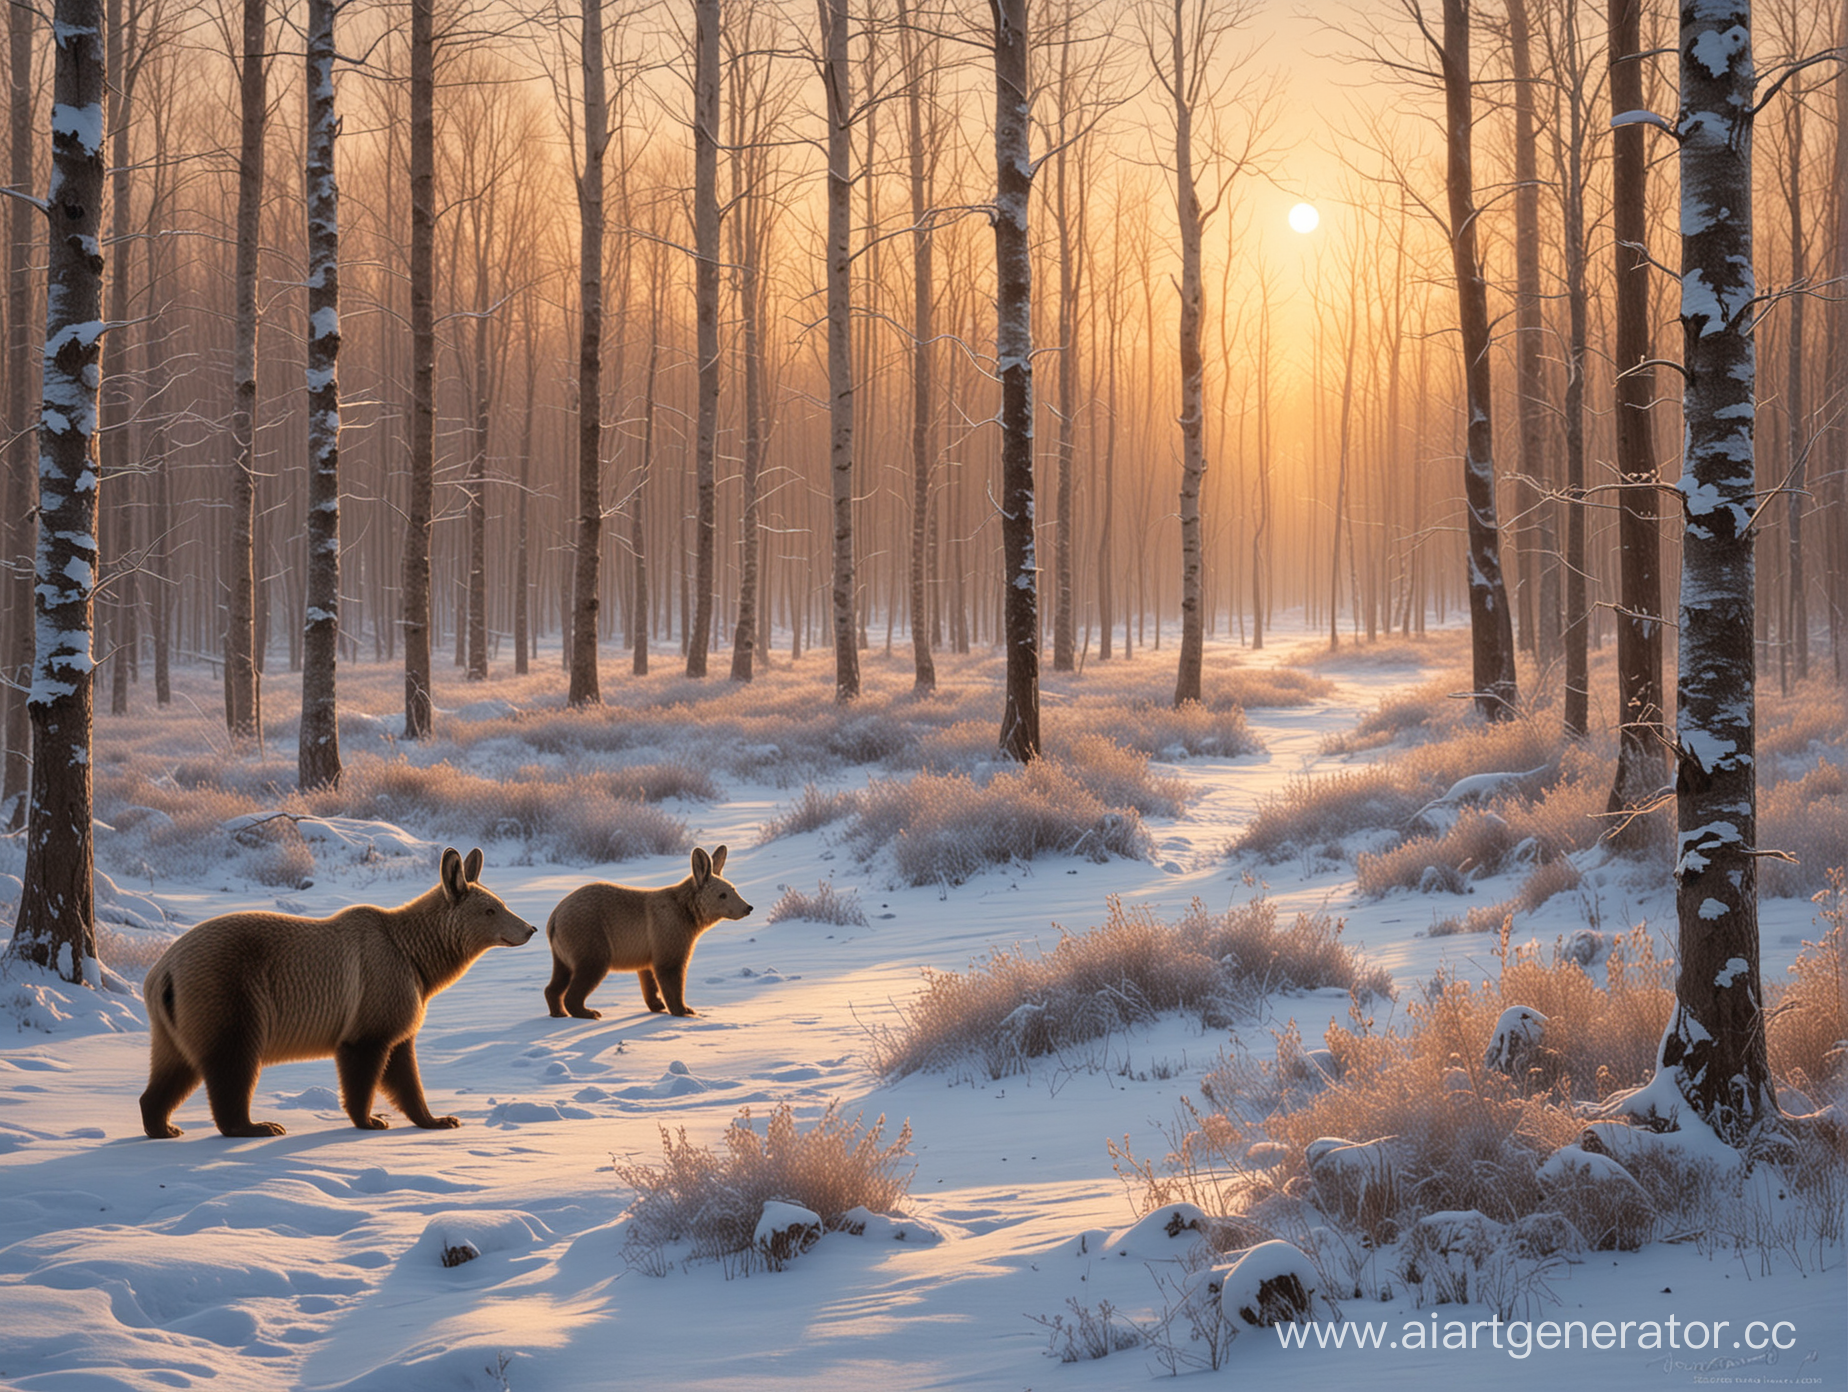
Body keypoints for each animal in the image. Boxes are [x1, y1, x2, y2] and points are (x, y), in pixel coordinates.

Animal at [138, 842, 535, 1131]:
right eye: (492, 910)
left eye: (502, 903)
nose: (529, 928)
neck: (417, 958)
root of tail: (163, 971)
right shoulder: (377, 983)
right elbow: (366, 1056)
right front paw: (370, 1119)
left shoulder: (403, 996)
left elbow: (403, 1063)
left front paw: (438, 1118)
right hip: (228, 991)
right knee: (233, 1060)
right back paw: (258, 1126)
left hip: (172, 1020)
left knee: (174, 1067)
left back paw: (162, 1124)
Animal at [539, 842, 750, 1013]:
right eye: (723, 895)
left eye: (734, 888)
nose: (748, 907)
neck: (687, 911)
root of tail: (554, 917)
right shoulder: (669, 927)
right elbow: (670, 968)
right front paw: (684, 1009)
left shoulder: (648, 945)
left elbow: (648, 975)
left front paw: (657, 1004)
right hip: (587, 933)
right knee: (591, 967)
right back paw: (587, 1011)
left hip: (561, 949)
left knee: (560, 976)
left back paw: (558, 1010)